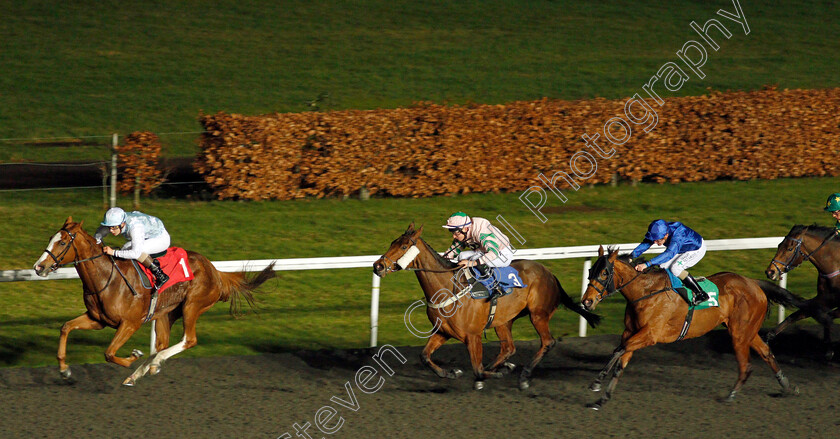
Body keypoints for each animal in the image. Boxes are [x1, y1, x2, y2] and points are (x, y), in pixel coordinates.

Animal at [32, 218, 276, 386]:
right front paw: (64, 370)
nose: (38, 267)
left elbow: (109, 353)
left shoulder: (130, 323)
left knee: (188, 340)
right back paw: (149, 367)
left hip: (192, 305)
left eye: (62, 242)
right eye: (51, 238)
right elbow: (66, 327)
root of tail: (214, 270)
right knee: (162, 344)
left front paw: (132, 357)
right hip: (166, 313)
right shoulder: (97, 319)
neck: (106, 278)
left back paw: (149, 365)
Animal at [370, 225, 600, 390]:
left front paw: (496, 374)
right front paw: (451, 373)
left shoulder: (473, 336)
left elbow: (477, 370)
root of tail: (550, 273)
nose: (378, 266)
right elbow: (425, 356)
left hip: (538, 315)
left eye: (403, 247)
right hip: (503, 321)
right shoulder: (443, 332)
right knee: (508, 348)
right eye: (392, 242)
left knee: (547, 342)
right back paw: (505, 365)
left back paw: (523, 376)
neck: (447, 288)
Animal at [576, 248, 800, 410]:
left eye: (604, 273)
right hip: (748, 332)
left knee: (746, 365)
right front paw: (602, 399)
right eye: (590, 271)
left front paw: (596, 382)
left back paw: (730, 396)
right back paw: (787, 387)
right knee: (766, 352)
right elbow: (621, 362)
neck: (645, 292)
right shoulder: (630, 332)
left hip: (739, 333)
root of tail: (753, 283)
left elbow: (618, 349)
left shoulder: (650, 334)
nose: (586, 302)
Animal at [764, 225, 836, 360]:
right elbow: (800, 312)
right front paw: (769, 335)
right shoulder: (825, 298)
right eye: (779, 245)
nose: (770, 272)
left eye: (790, 248)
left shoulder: (831, 299)